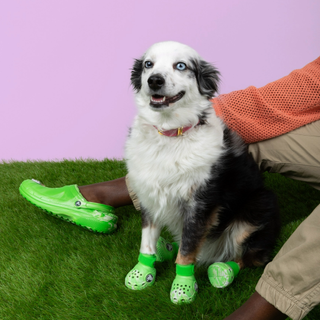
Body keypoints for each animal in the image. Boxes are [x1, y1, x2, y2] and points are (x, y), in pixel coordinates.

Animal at [125, 41, 280, 304]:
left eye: (181, 66)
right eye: (148, 64)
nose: (154, 80)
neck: (170, 134)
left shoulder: (200, 204)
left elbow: (187, 250)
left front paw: (183, 287)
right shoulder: (149, 195)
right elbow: (146, 241)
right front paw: (142, 272)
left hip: (259, 205)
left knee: (251, 257)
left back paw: (223, 271)